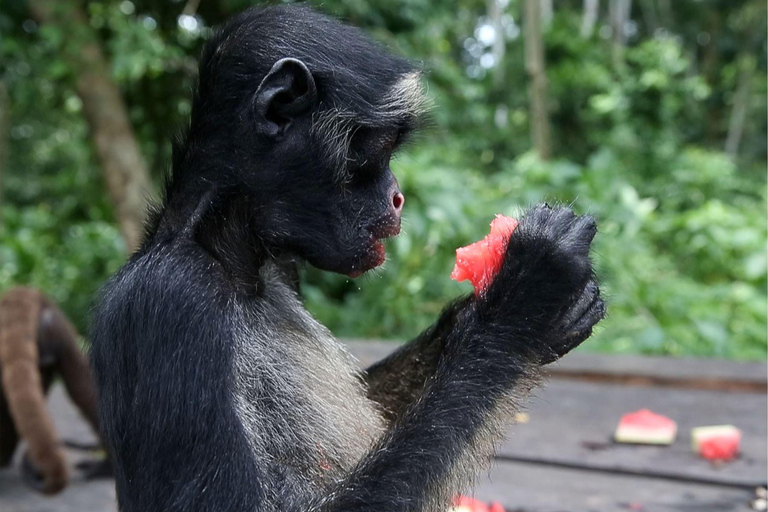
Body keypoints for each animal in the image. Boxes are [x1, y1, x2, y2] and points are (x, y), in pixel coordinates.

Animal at [90, 5, 608, 512]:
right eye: (380, 147)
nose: (398, 197)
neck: (229, 257)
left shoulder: (282, 266)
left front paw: (475, 316)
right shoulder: (170, 298)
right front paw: (525, 298)